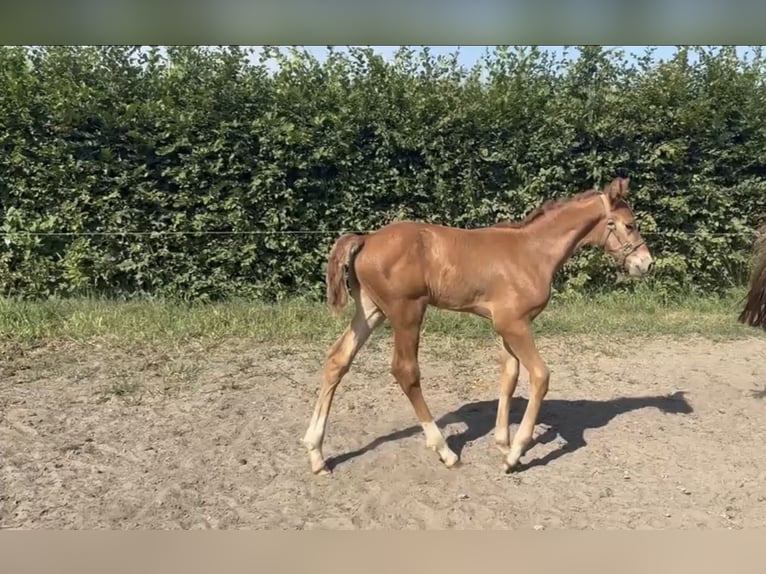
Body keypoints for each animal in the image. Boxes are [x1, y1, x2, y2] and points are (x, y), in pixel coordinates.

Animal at [302, 176, 654, 475]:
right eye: (630, 225)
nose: (646, 264)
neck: (533, 252)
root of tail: (366, 238)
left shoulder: (507, 325)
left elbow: (509, 375)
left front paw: (502, 443)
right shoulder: (514, 324)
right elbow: (540, 376)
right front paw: (515, 454)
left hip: (371, 310)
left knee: (337, 359)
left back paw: (316, 454)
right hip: (407, 312)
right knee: (405, 371)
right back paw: (445, 451)